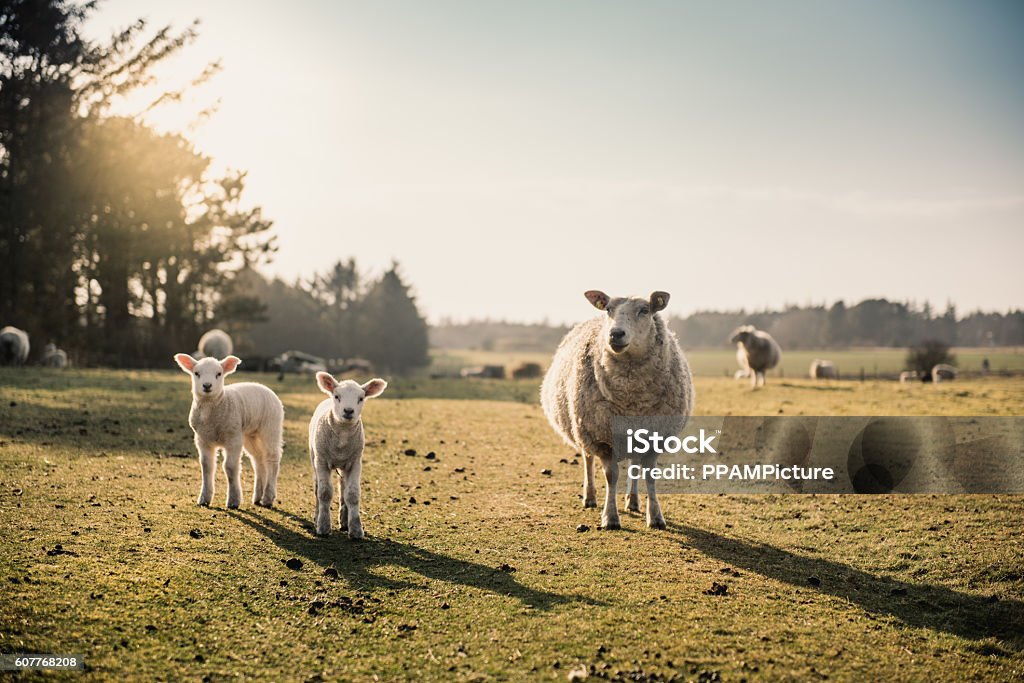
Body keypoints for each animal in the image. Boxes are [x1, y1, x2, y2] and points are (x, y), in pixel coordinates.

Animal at [172, 352, 284, 507]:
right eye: (196, 373)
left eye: (219, 374)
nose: (207, 385)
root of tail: (263, 387)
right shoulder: (202, 439)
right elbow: (206, 466)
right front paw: (204, 499)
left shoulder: (233, 438)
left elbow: (230, 467)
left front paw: (233, 500)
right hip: (249, 435)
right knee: (258, 460)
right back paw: (257, 496)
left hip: (270, 427)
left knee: (272, 458)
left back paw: (268, 497)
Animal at [307, 374, 387, 540]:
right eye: (337, 396)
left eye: (361, 398)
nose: (348, 411)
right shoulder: (321, 460)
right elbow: (324, 492)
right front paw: (323, 527)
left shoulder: (355, 462)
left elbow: (353, 494)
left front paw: (356, 529)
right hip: (314, 458)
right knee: (317, 488)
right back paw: (317, 516)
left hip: (344, 465)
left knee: (342, 486)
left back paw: (344, 521)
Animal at [536, 290, 696, 532]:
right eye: (608, 309)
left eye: (644, 310)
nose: (615, 334)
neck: (632, 397)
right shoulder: (603, 438)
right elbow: (611, 476)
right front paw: (610, 518)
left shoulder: (654, 438)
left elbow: (649, 476)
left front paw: (656, 516)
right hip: (583, 429)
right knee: (587, 460)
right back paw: (590, 497)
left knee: (634, 465)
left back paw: (633, 501)